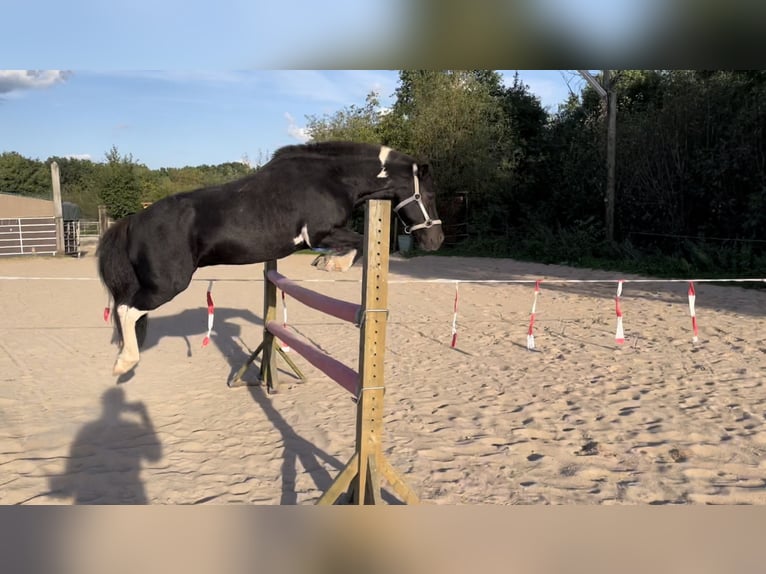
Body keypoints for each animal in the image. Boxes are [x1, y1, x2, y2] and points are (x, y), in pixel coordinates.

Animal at [97, 142, 444, 378]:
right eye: (428, 196)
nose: (436, 240)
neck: (332, 179)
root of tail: (134, 220)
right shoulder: (318, 234)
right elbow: (358, 243)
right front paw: (332, 264)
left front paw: (327, 263)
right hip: (168, 284)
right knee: (127, 310)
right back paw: (124, 363)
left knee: (126, 309)